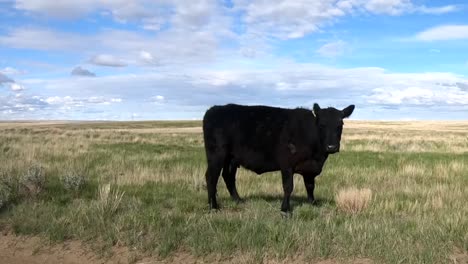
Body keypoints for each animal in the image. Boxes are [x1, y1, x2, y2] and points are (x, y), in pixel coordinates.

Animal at [202, 103, 354, 214]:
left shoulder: (310, 168)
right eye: (322, 125)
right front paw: (285, 210)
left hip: (232, 159)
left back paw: (238, 200)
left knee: (228, 177)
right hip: (216, 155)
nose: (331, 146)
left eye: (340, 125)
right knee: (211, 177)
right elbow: (288, 187)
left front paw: (312, 203)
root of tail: (214, 109)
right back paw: (213, 206)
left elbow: (310, 186)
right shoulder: (286, 164)